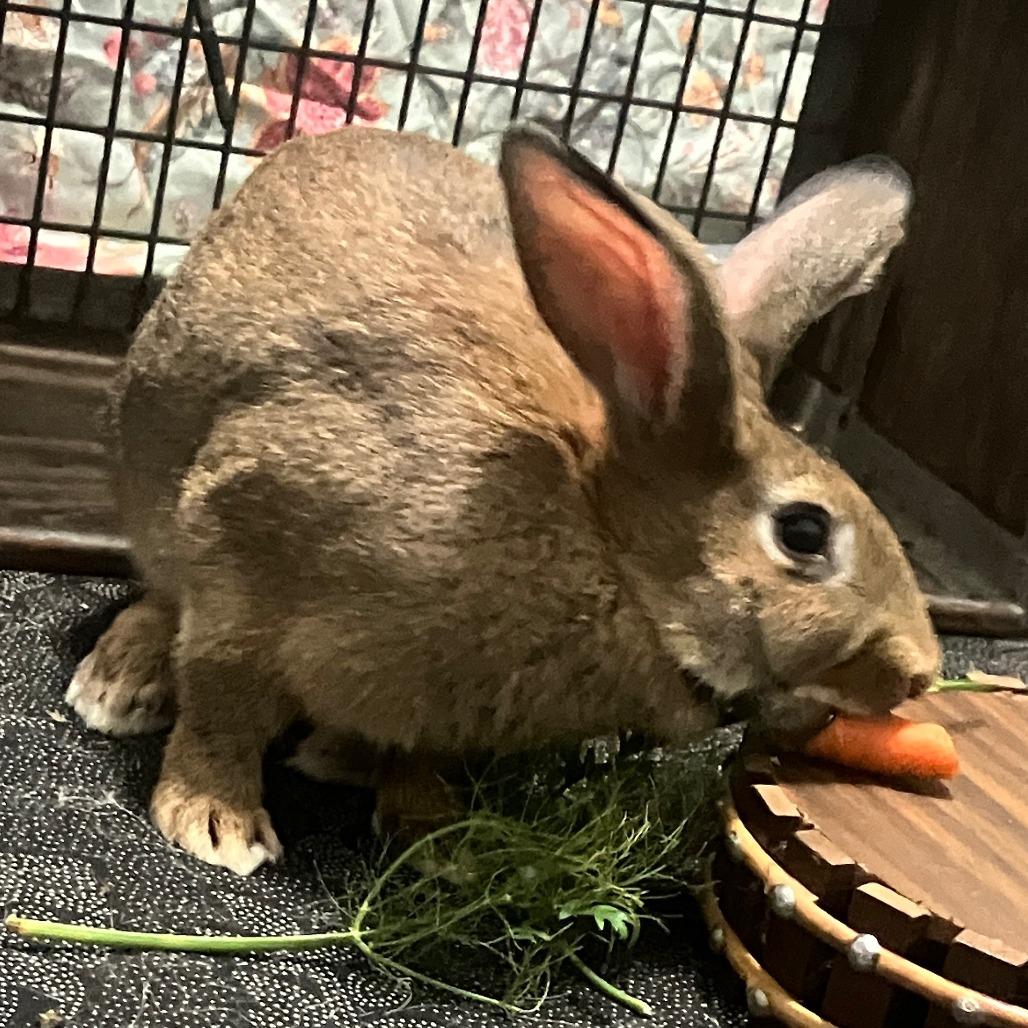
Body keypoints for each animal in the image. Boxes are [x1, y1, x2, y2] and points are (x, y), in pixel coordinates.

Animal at [65, 123, 939, 875]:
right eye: (803, 532)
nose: (921, 672)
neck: (601, 542)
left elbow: (414, 756)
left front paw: (439, 838)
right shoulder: (244, 555)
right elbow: (225, 703)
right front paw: (216, 824)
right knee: (162, 601)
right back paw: (119, 685)